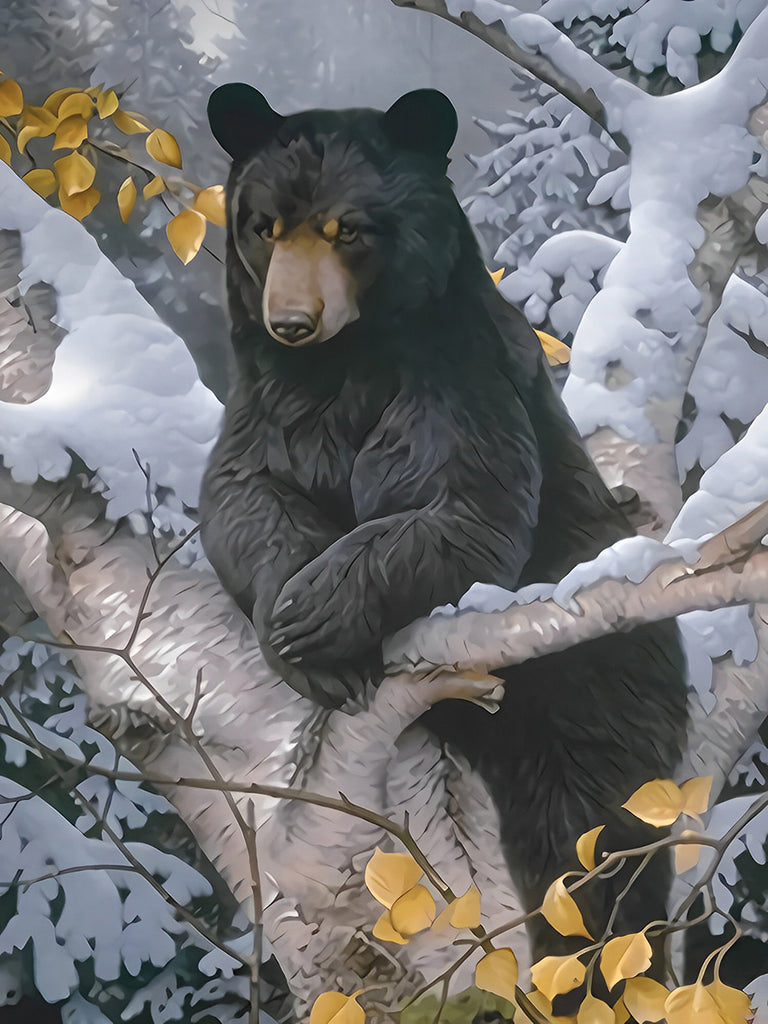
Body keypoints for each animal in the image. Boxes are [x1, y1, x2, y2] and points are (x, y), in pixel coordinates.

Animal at [199, 83, 692, 978]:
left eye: (347, 229)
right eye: (263, 225)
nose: (291, 319)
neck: (340, 363)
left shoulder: (453, 374)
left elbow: (465, 509)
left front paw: (317, 614)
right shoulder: (269, 398)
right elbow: (242, 496)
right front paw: (300, 636)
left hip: (598, 687)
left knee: (589, 838)